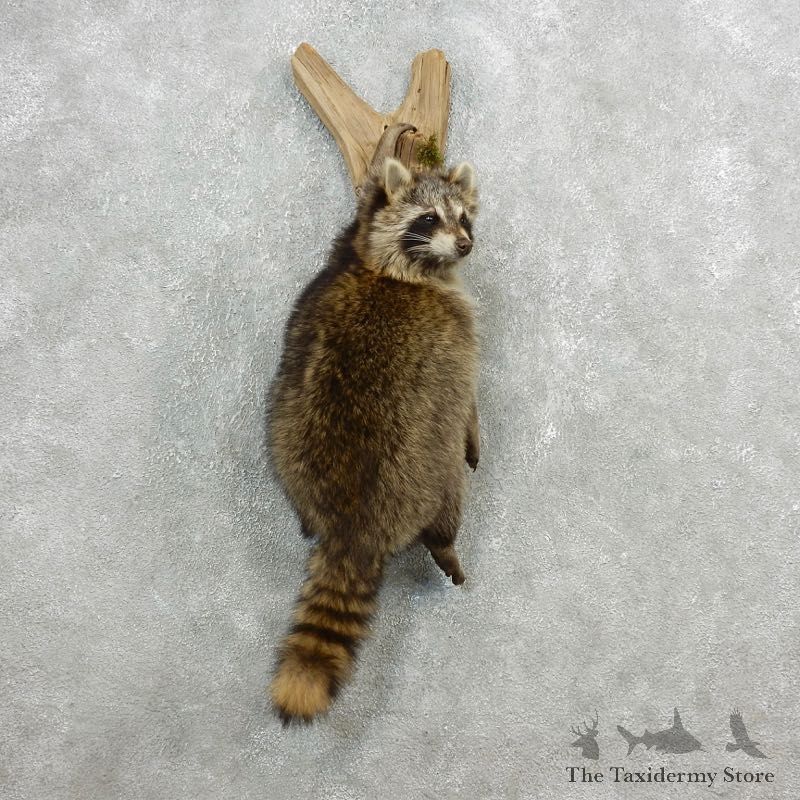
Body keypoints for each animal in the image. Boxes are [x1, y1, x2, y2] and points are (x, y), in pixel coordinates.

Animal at [268, 126, 480, 723]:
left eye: (465, 218)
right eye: (428, 219)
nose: (465, 245)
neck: (391, 269)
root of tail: (352, 526)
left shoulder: (341, 257)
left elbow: (356, 218)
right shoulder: (457, 333)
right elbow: (468, 393)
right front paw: (476, 428)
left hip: (284, 435)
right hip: (429, 470)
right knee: (448, 490)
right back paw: (445, 544)